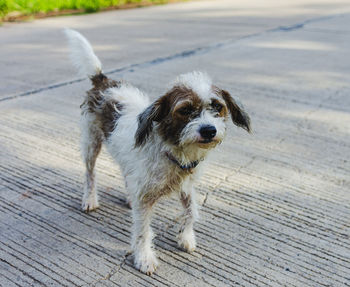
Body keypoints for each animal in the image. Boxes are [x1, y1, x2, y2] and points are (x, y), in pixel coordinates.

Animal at [65, 28, 252, 276]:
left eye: (217, 107)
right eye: (185, 110)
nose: (209, 130)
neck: (173, 149)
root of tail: (103, 80)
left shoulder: (186, 185)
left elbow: (192, 211)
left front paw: (186, 238)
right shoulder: (145, 198)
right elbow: (143, 230)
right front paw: (144, 258)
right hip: (90, 143)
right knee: (90, 174)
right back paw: (89, 199)